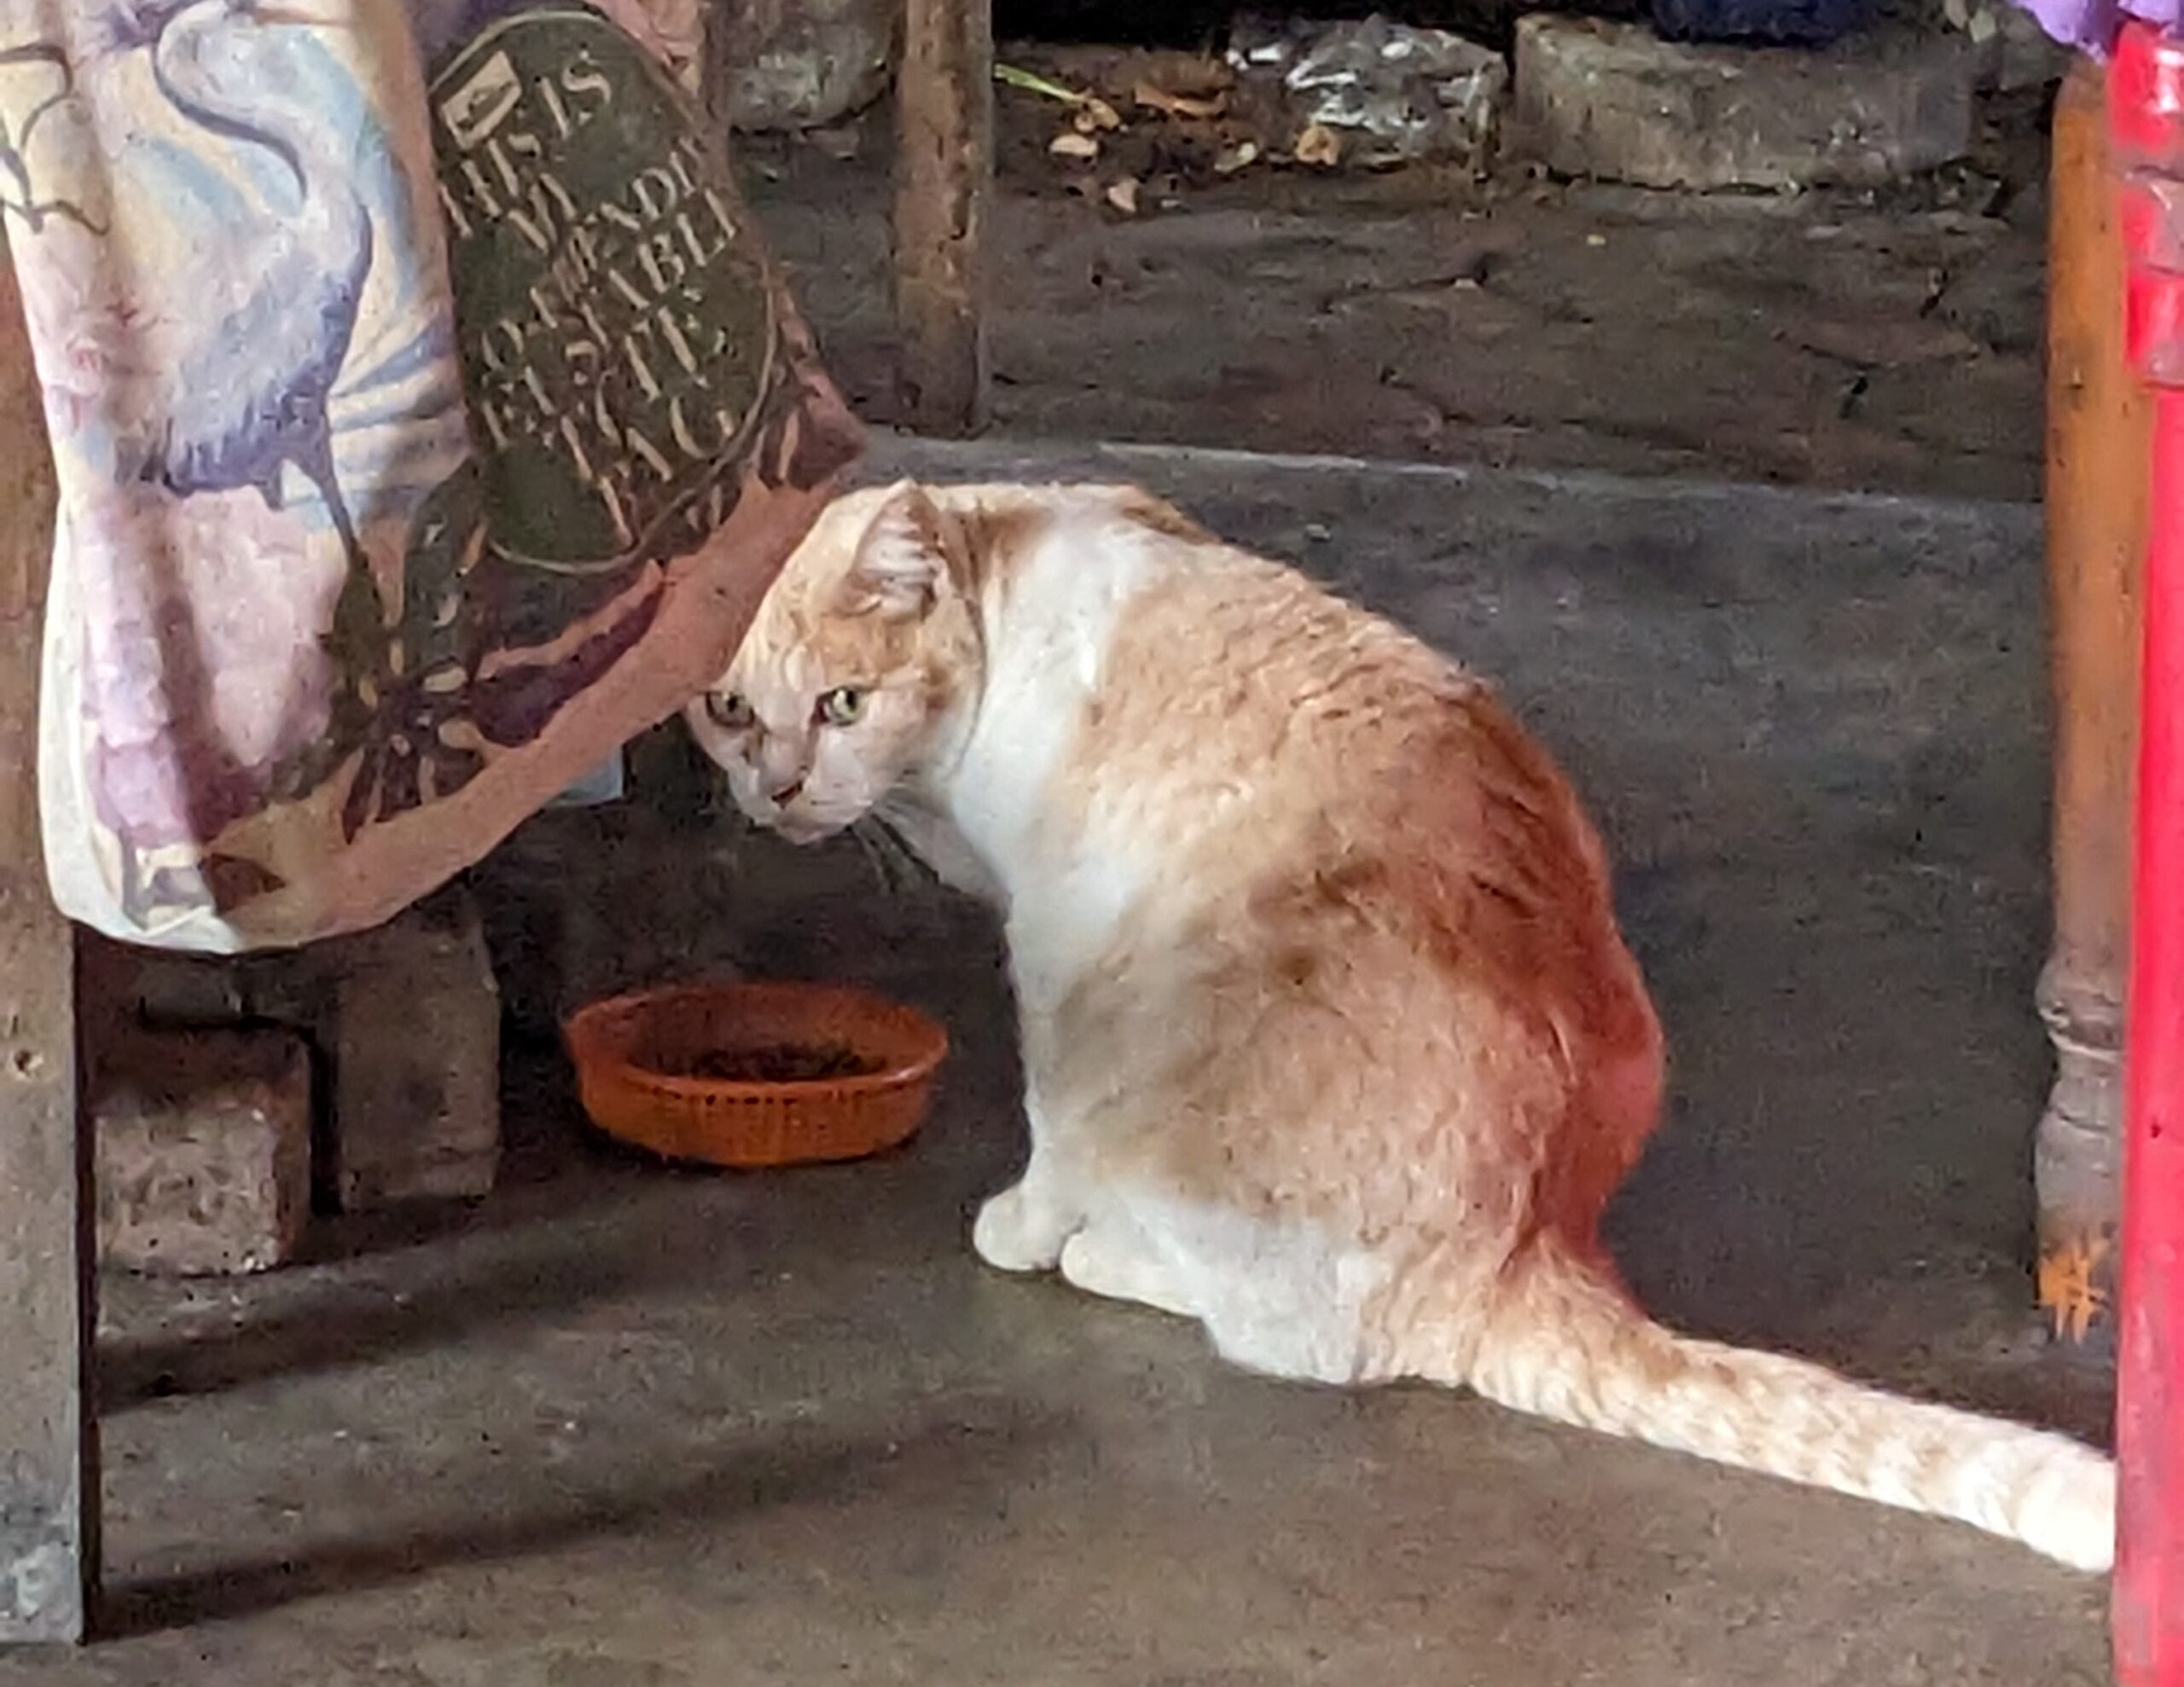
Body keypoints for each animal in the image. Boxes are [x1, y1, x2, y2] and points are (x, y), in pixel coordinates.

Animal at [685, 478, 2114, 1573]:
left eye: (844, 704)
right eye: (732, 711)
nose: (778, 791)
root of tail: (1523, 1250)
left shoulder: (1051, 953)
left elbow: (1048, 1142)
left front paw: (1023, 1226)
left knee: (1309, 1338)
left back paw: (1109, 1255)